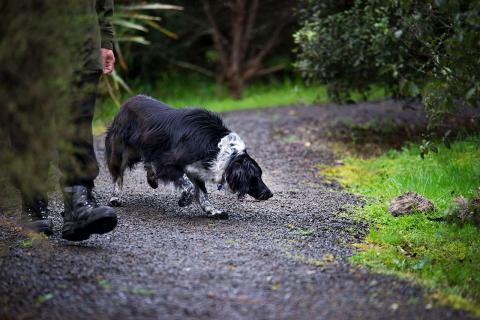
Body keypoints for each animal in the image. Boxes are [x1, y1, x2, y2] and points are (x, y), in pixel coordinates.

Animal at [103, 95, 272, 219]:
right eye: (254, 177)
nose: (270, 194)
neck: (215, 147)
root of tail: (126, 102)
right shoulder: (168, 162)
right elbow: (189, 187)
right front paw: (184, 201)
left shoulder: (196, 170)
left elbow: (203, 194)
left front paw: (213, 211)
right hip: (120, 151)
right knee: (118, 175)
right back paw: (115, 198)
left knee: (147, 163)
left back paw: (152, 179)